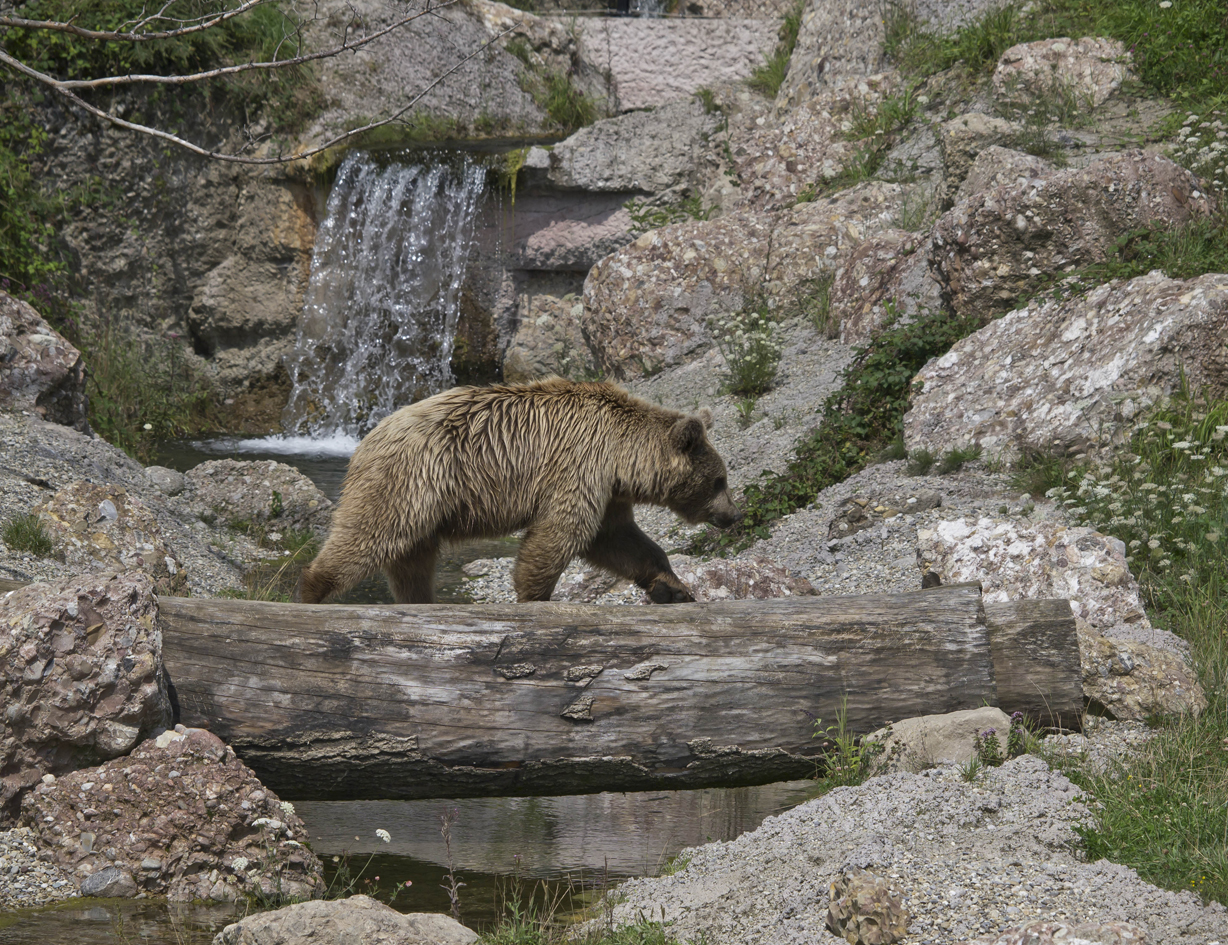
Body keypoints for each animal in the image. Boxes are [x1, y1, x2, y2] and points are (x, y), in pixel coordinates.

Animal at [297, 375, 736, 603]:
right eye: (720, 480)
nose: (733, 514)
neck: (622, 457)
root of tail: (367, 437)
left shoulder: (607, 491)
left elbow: (618, 539)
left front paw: (673, 587)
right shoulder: (579, 465)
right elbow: (561, 534)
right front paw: (533, 596)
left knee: (411, 561)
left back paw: (419, 600)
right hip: (411, 478)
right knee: (370, 535)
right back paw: (312, 592)